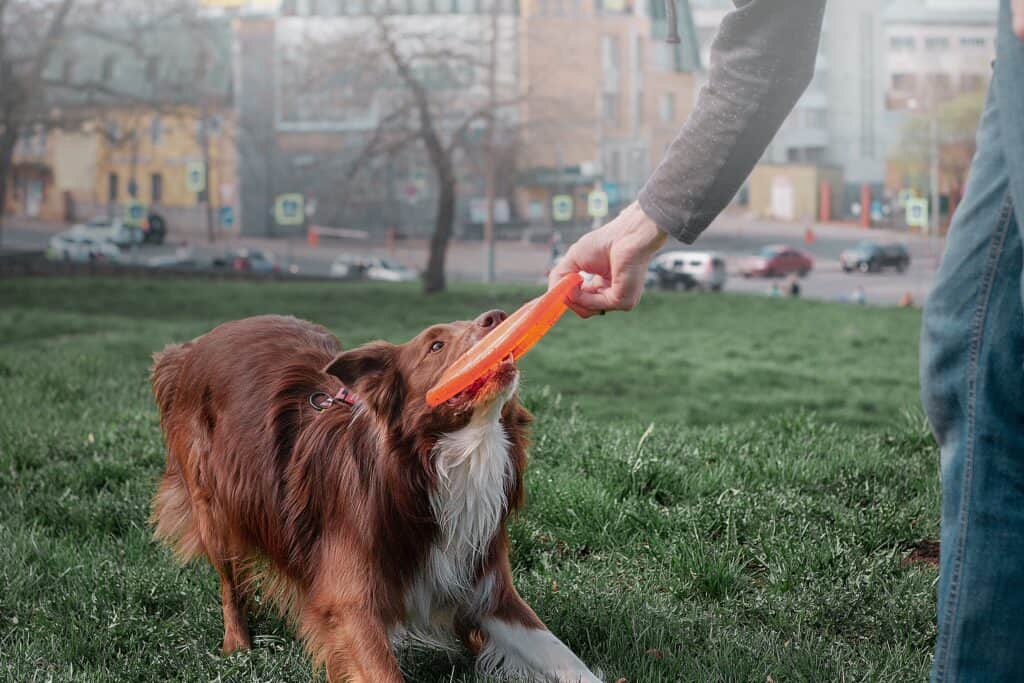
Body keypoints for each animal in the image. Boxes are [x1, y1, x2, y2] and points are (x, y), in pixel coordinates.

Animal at [150, 313, 598, 679]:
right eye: (435, 345)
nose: (498, 316)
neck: (444, 462)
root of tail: (193, 346)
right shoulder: (349, 604)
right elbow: (382, 670)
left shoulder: (486, 587)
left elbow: (566, 660)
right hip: (214, 510)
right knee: (230, 584)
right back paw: (238, 644)